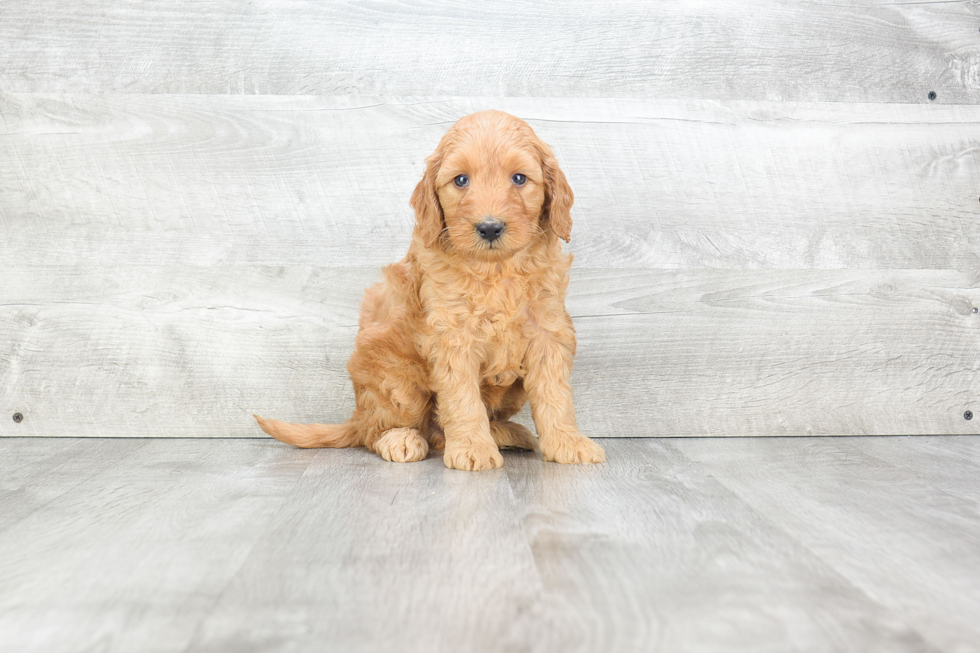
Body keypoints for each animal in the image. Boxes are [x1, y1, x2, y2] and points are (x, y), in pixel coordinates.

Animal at [253, 111, 604, 468]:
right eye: (460, 180)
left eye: (519, 179)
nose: (490, 227)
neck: (495, 270)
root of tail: (358, 414)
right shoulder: (453, 336)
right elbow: (463, 399)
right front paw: (472, 449)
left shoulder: (547, 330)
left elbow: (554, 393)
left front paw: (567, 442)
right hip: (398, 383)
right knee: (378, 430)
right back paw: (401, 438)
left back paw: (506, 434)